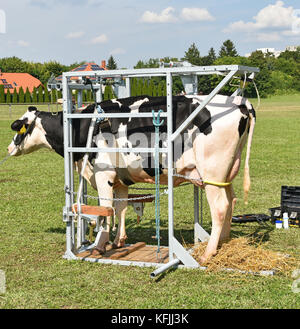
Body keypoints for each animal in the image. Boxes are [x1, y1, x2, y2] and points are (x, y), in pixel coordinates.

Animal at [7, 93, 255, 262]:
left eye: (19, 128)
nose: (9, 148)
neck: (82, 126)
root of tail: (239, 101)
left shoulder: (103, 174)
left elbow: (105, 210)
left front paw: (100, 245)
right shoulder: (120, 179)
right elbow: (121, 208)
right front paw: (119, 241)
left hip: (212, 173)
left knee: (220, 207)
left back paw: (208, 253)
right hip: (226, 174)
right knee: (231, 200)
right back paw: (223, 242)